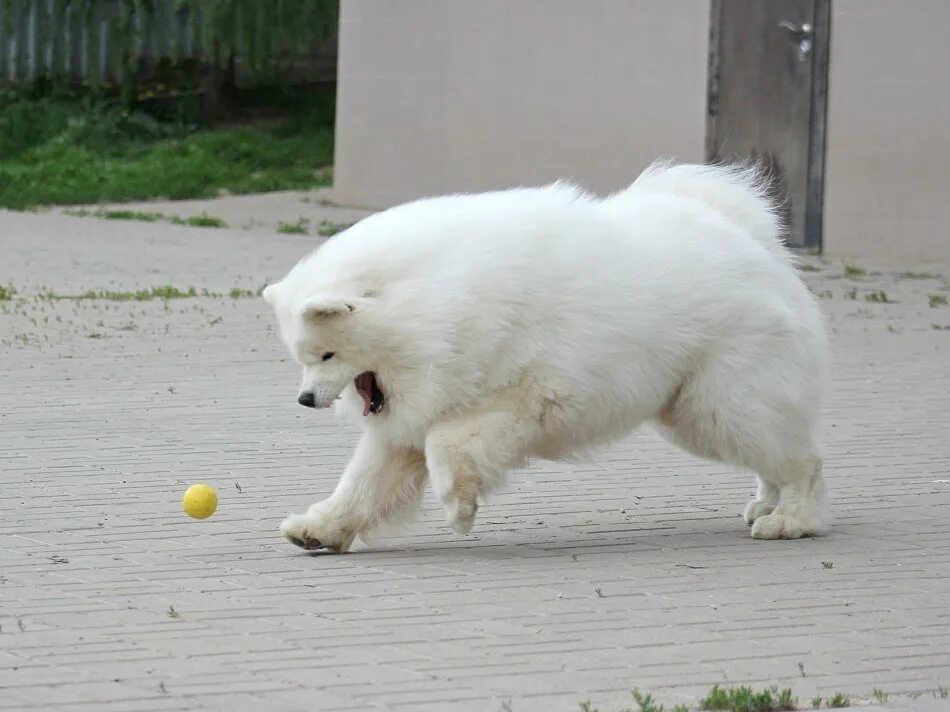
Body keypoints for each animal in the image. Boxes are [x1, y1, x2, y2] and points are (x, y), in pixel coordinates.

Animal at [264, 161, 828, 552]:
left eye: (327, 353)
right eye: (303, 358)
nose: (304, 399)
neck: (436, 307)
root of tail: (753, 242)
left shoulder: (521, 400)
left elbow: (446, 446)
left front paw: (459, 507)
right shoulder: (409, 419)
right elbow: (360, 485)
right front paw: (318, 530)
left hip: (719, 404)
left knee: (802, 460)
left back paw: (790, 519)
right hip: (696, 412)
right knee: (774, 455)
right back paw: (765, 504)